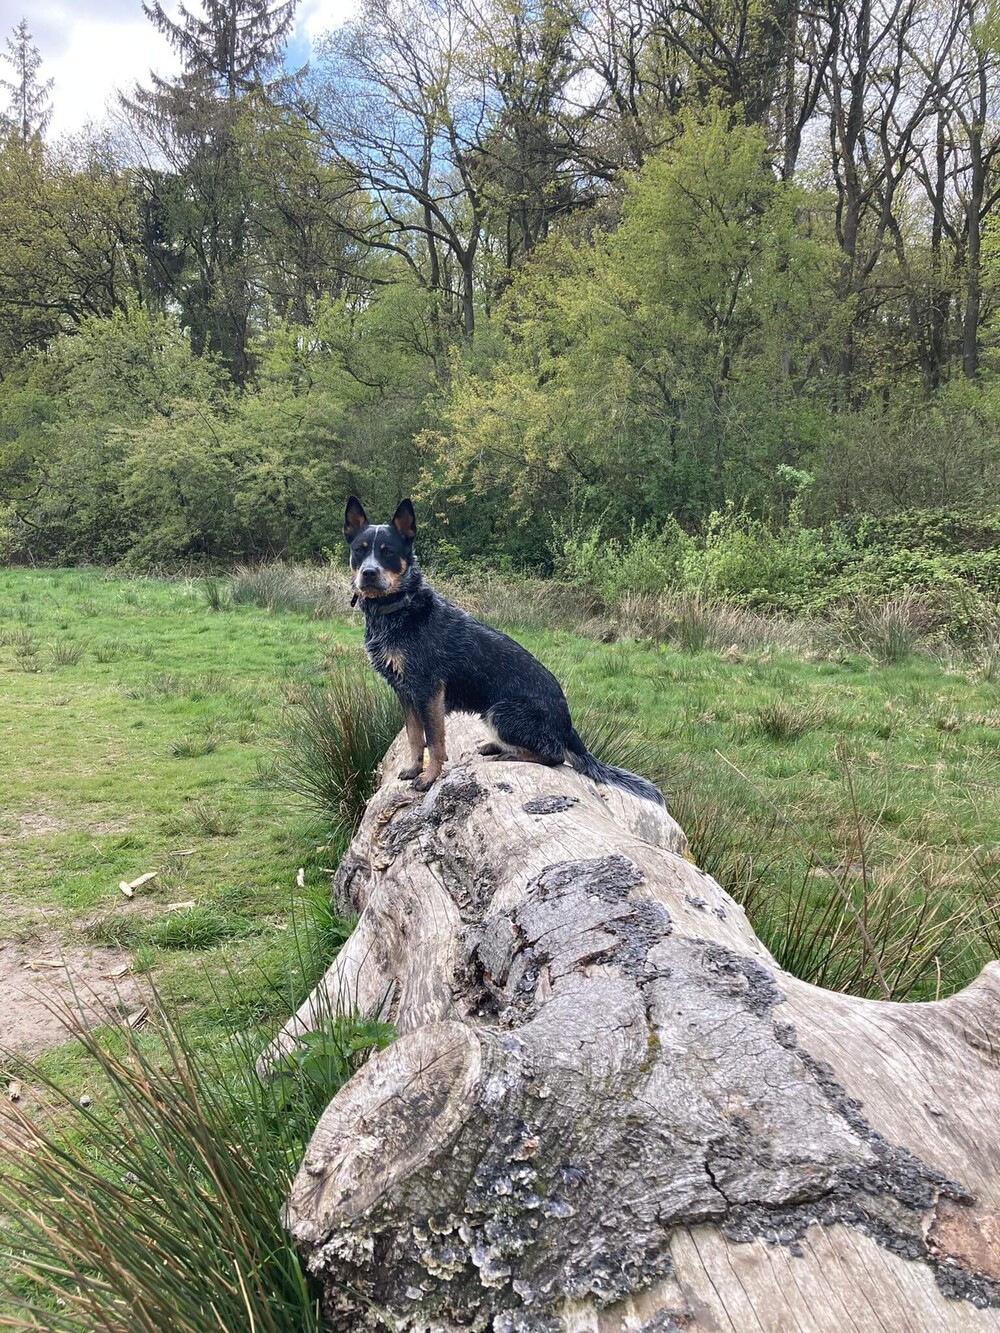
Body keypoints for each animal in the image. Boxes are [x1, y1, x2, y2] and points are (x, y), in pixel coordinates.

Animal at [344, 495, 665, 805]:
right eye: (360, 550)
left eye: (387, 551)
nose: (368, 573)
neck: (398, 609)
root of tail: (568, 725)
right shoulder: (405, 691)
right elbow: (414, 736)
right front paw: (413, 769)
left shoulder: (429, 691)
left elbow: (435, 741)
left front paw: (430, 778)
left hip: (498, 712)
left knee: (554, 755)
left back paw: (507, 753)